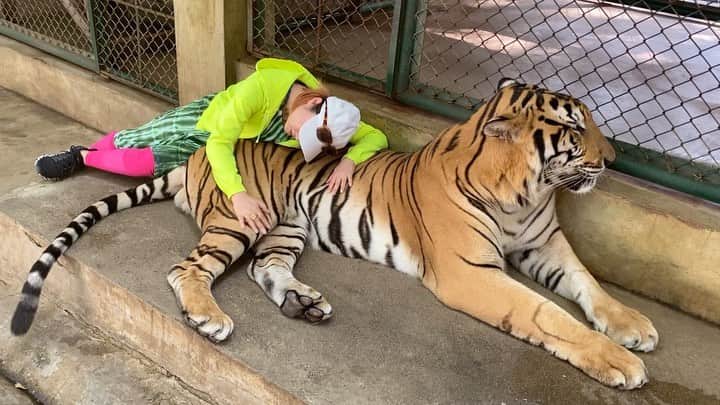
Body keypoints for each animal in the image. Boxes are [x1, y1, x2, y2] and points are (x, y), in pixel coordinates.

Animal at [11, 78, 658, 389]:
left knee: (266, 267)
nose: (613, 158)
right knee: (186, 268)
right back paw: (208, 317)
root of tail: (194, 157)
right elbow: (548, 315)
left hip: (286, 228)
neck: (526, 191)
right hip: (237, 221)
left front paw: (634, 327)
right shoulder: (468, 272)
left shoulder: (545, 243)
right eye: (575, 127)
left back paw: (305, 303)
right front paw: (619, 361)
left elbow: (589, 286)